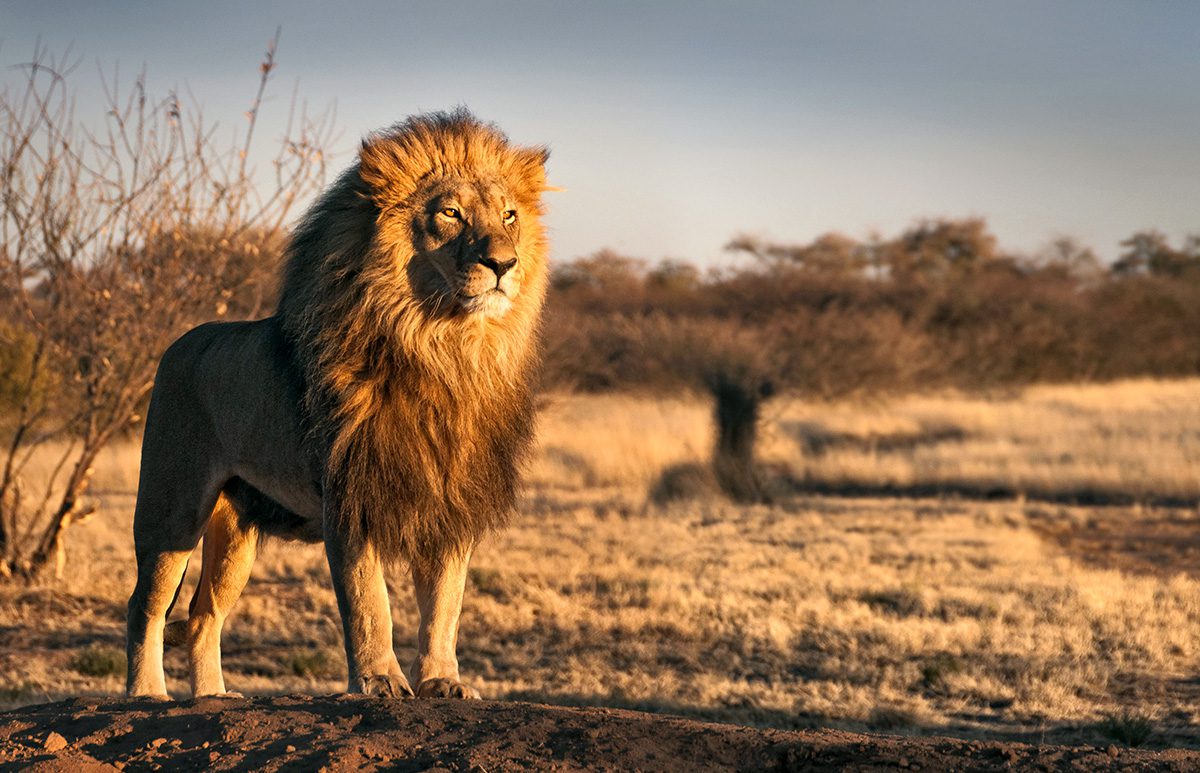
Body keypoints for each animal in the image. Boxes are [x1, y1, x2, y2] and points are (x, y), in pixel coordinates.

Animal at [125, 110, 549, 700]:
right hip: (172, 507)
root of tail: (179, 343)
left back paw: (213, 696)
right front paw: (380, 681)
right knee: (146, 605)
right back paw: (146, 693)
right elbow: (369, 602)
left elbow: (445, 604)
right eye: (450, 213)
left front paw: (443, 681)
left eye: (509, 215)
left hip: (236, 532)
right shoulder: (350, 493)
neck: (444, 349)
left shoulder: (451, 500)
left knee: (204, 614)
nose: (504, 263)